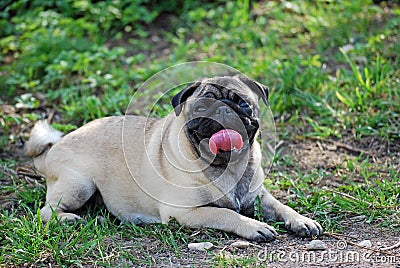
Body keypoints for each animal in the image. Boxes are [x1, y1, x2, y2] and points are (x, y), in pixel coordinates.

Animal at [25, 74, 322, 242]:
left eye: (242, 103)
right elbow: (226, 213)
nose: (223, 110)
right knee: (46, 211)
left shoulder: (259, 195)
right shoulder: (186, 212)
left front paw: (301, 220)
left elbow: (282, 206)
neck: (225, 165)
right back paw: (70, 219)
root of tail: (53, 148)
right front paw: (254, 226)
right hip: (79, 185)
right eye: (201, 108)